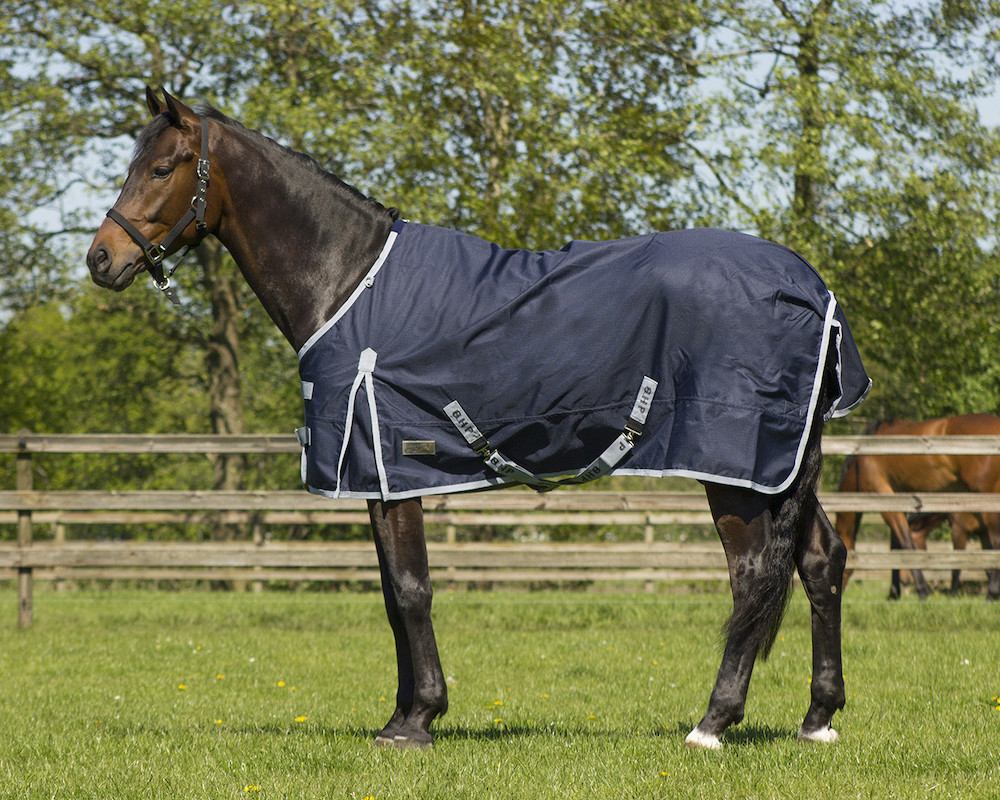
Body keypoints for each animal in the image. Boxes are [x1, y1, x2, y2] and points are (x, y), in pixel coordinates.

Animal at [87, 88, 870, 750]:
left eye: (161, 167)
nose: (101, 258)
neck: (347, 279)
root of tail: (809, 288)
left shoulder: (390, 464)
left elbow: (411, 590)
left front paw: (418, 722)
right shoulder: (380, 478)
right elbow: (392, 595)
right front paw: (402, 714)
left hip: (735, 467)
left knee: (753, 575)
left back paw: (712, 723)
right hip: (781, 467)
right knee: (820, 560)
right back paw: (818, 718)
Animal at [835, 416, 1000, 600]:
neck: (860, 463)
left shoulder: (884, 498)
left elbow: (906, 542)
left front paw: (922, 591)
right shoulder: (897, 498)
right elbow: (896, 546)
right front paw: (894, 593)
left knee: (996, 543)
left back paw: (992, 593)